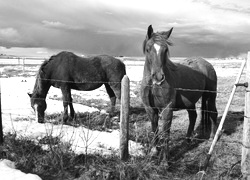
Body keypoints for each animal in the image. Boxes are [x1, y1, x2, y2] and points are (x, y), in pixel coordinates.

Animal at [140, 25, 218, 162]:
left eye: (166, 50)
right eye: (148, 49)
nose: (159, 77)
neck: (152, 85)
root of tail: (207, 65)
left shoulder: (167, 109)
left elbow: (166, 133)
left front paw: (165, 161)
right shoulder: (149, 109)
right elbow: (154, 129)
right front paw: (154, 151)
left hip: (210, 97)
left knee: (213, 114)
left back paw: (212, 138)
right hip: (190, 102)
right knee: (193, 117)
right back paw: (187, 140)